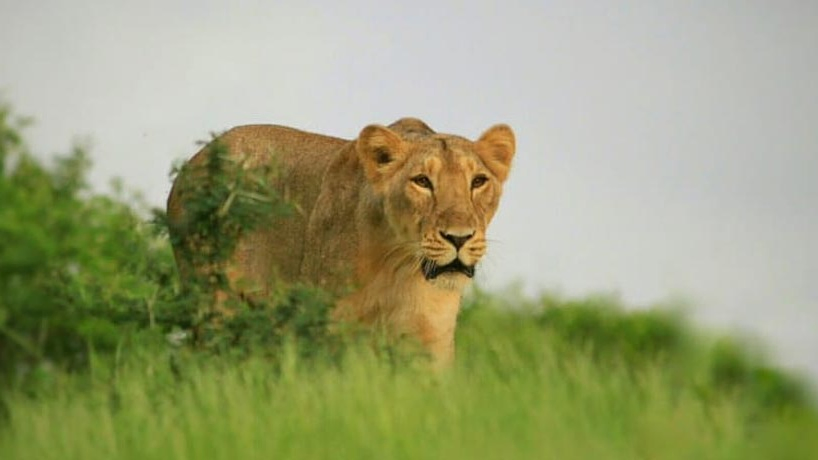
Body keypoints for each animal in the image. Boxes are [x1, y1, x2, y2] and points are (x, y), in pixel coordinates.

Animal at [166, 117, 515, 365]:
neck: (400, 267)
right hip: (215, 304)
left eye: (478, 181)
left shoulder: (432, 339)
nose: (459, 237)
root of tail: (192, 164)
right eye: (422, 181)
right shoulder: (329, 327)